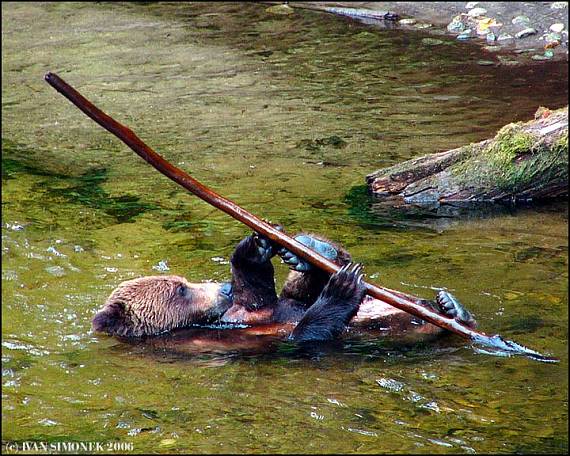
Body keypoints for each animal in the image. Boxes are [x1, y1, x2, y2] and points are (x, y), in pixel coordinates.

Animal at [93, 233, 474, 344]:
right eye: (180, 290)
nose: (223, 288)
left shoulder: (250, 309)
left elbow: (266, 294)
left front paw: (254, 248)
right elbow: (302, 332)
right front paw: (342, 289)